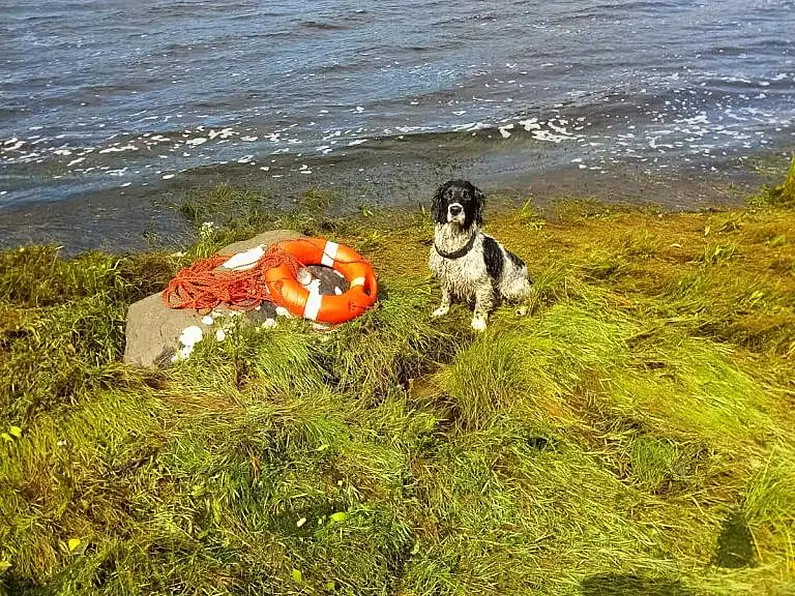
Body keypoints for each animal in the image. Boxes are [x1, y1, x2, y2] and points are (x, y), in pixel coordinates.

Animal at [430, 179, 536, 332]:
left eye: (467, 195)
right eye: (447, 194)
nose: (455, 209)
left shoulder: (482, 284)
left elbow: (480, 306)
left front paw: (478, 324)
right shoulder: (445, 276)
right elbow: (445, 296)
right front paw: (442, 310)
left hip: (512, 287)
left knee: (528, 297)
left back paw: (521, 309)